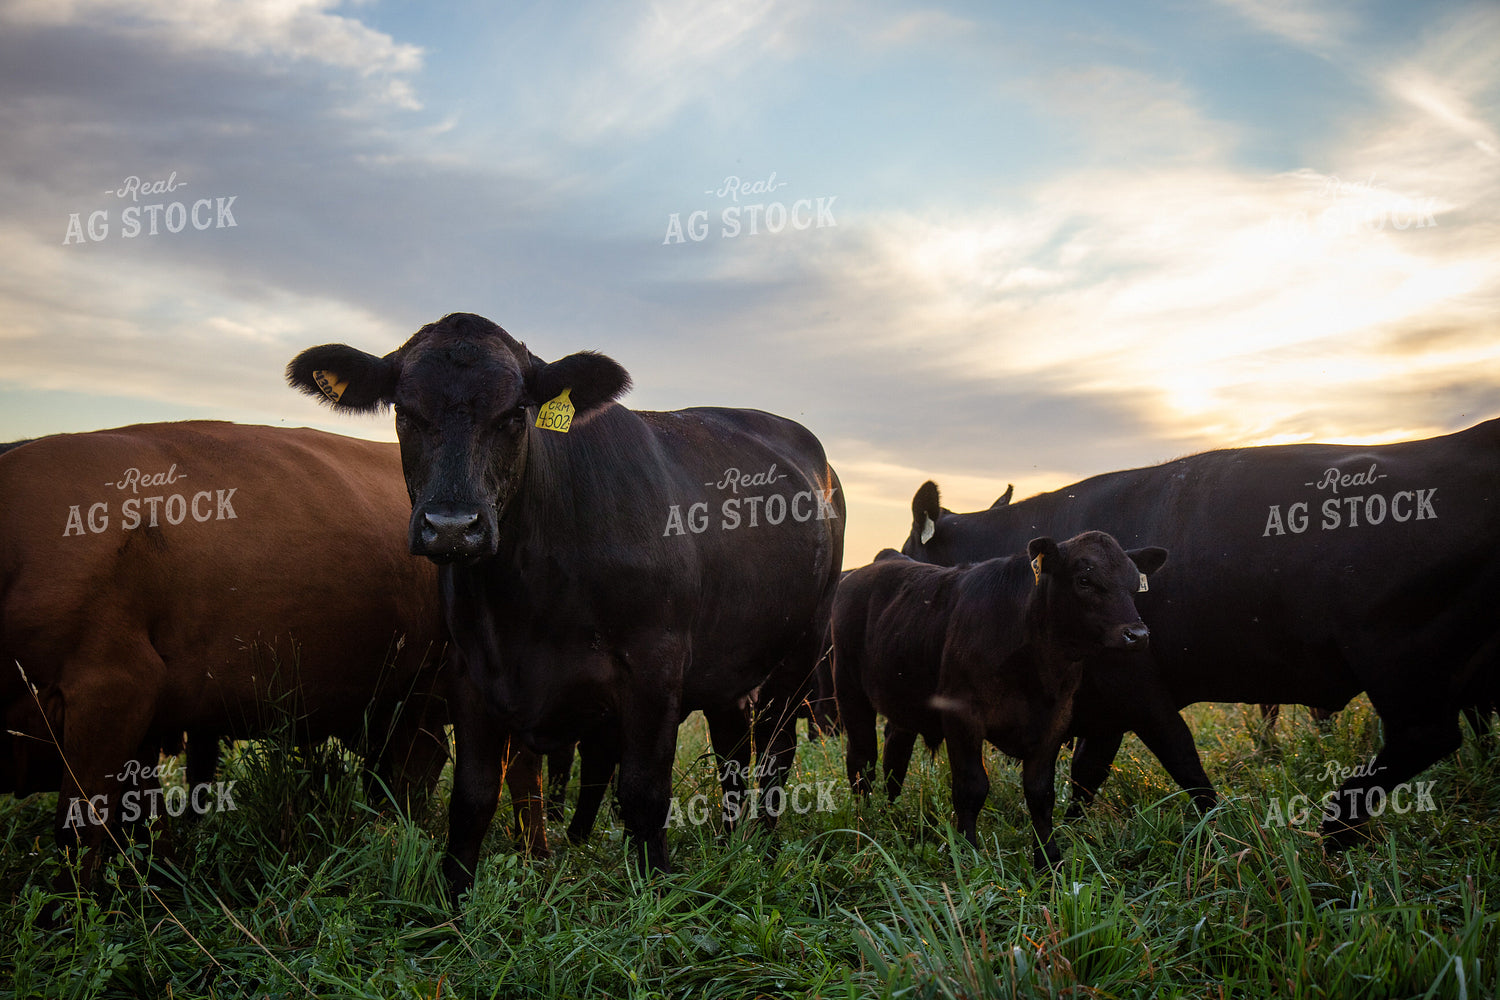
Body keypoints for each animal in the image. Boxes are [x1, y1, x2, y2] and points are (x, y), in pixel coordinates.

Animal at [286, 312, 844, 897]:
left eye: (515, 415)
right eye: (404, 411)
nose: (453, 526)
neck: (525, 605)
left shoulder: (655, 666)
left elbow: (643, 793)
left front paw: (656, 889)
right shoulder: (469, 671)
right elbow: (474, 796)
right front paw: (454, 896)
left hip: (801, 650)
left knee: (777, 752)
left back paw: (764, 848)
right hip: (730, 667)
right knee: (733, 748)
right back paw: (729, 842)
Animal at [834, 535, 1165, 867]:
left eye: (1134, 584)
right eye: (1084, 580)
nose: (1137, 634)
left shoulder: (1055, 720)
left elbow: (1041, 793)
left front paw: (1048, 858)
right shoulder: (961, 715)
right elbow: (972, 786)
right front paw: (966, 852)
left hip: (903, 702)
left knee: (895, 758)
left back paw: (891, 811)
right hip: (849, 690)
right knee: (862, 759)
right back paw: (864, 820)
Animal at [901, 416, 1500, 847]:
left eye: (906, 558)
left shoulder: (1138, 686)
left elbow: (1184, 762)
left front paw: (1221, 832)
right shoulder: (1105, 705)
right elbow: (1087, 776)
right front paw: (1073, 835)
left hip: (1399, 659)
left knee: (1426, 736)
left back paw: (1332, 830)